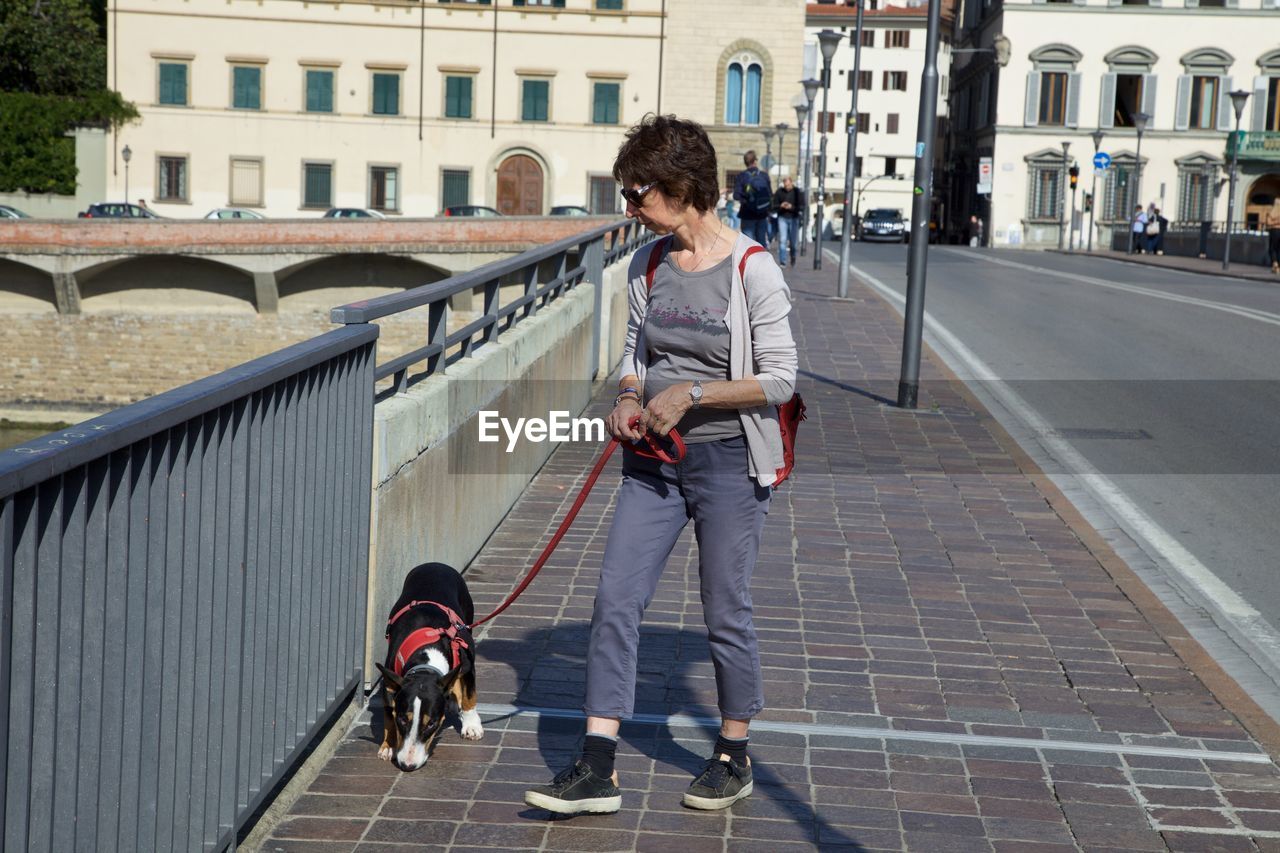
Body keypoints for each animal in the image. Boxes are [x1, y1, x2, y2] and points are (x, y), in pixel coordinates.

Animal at [378, 560, 483, 768]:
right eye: (402, 719)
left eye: (432, 724)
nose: (407, 765)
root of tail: (435, 563)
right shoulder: (389, 680)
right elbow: (388, 715)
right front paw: (388, 747)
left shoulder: (468, 665)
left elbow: (469, 695)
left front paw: (472, 726)